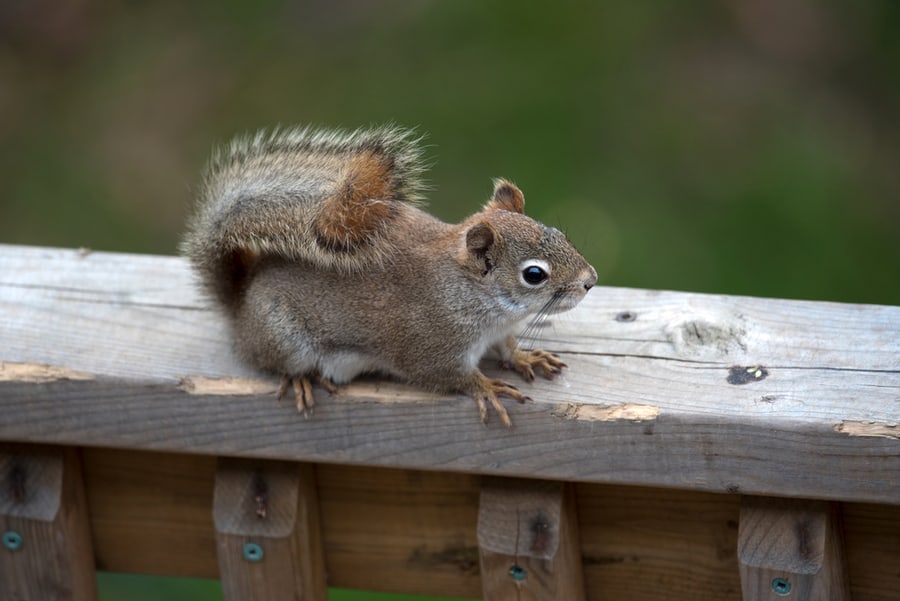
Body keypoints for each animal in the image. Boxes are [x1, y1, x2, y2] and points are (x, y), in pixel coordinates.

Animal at [181, 124, 596, 424]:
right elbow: (446, 375)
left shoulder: (500, 331)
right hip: (283, 338)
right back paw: (300, 379)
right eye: (534, 274)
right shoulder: (431, 342)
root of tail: (240, 303)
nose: (590, 280)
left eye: (559, 233)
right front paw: (487, 388)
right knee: (278, 363)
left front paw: (526, 358)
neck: (476, 296)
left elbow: (508, 347)